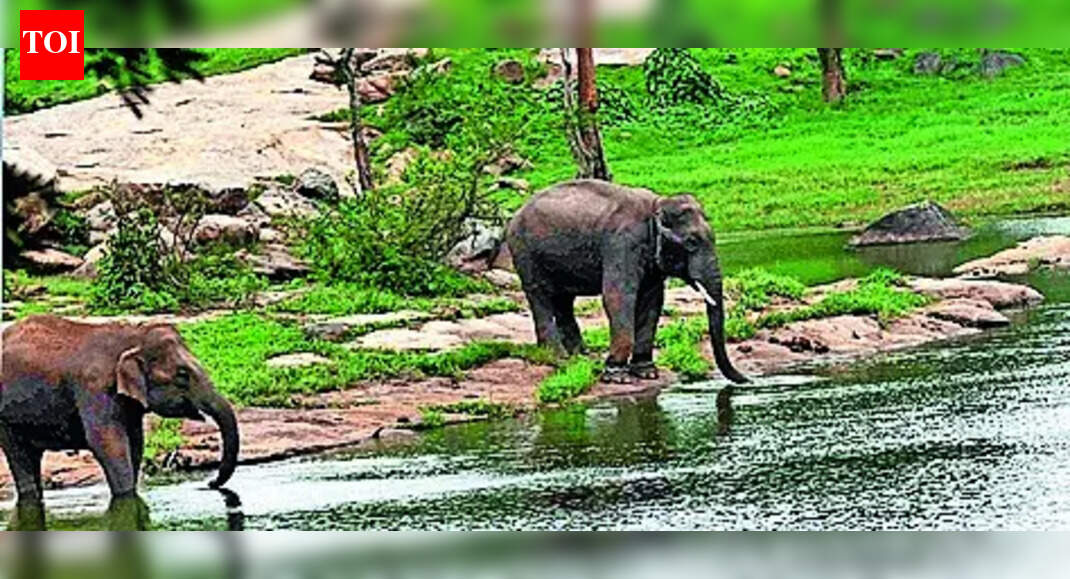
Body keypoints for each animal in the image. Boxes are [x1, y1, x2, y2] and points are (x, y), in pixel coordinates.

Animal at [0, 315, 239, 530]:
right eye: (182, 375)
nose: (210, 483)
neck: (133, 337)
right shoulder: (94, 388)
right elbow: (106, 443)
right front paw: (126, 496)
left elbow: (135, 442)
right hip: (5, 419)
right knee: (20, 456)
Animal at [505, 179, 748, 384]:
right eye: (691, 242)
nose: (747, 380)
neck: (656, 205)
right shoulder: (622, 243)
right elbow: (618, 296)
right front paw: (617, 376)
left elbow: (652, 301)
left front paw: (647, 372)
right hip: (524, 251)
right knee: (540, 295)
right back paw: (558, 357)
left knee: (564, 301)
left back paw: (580, 356)